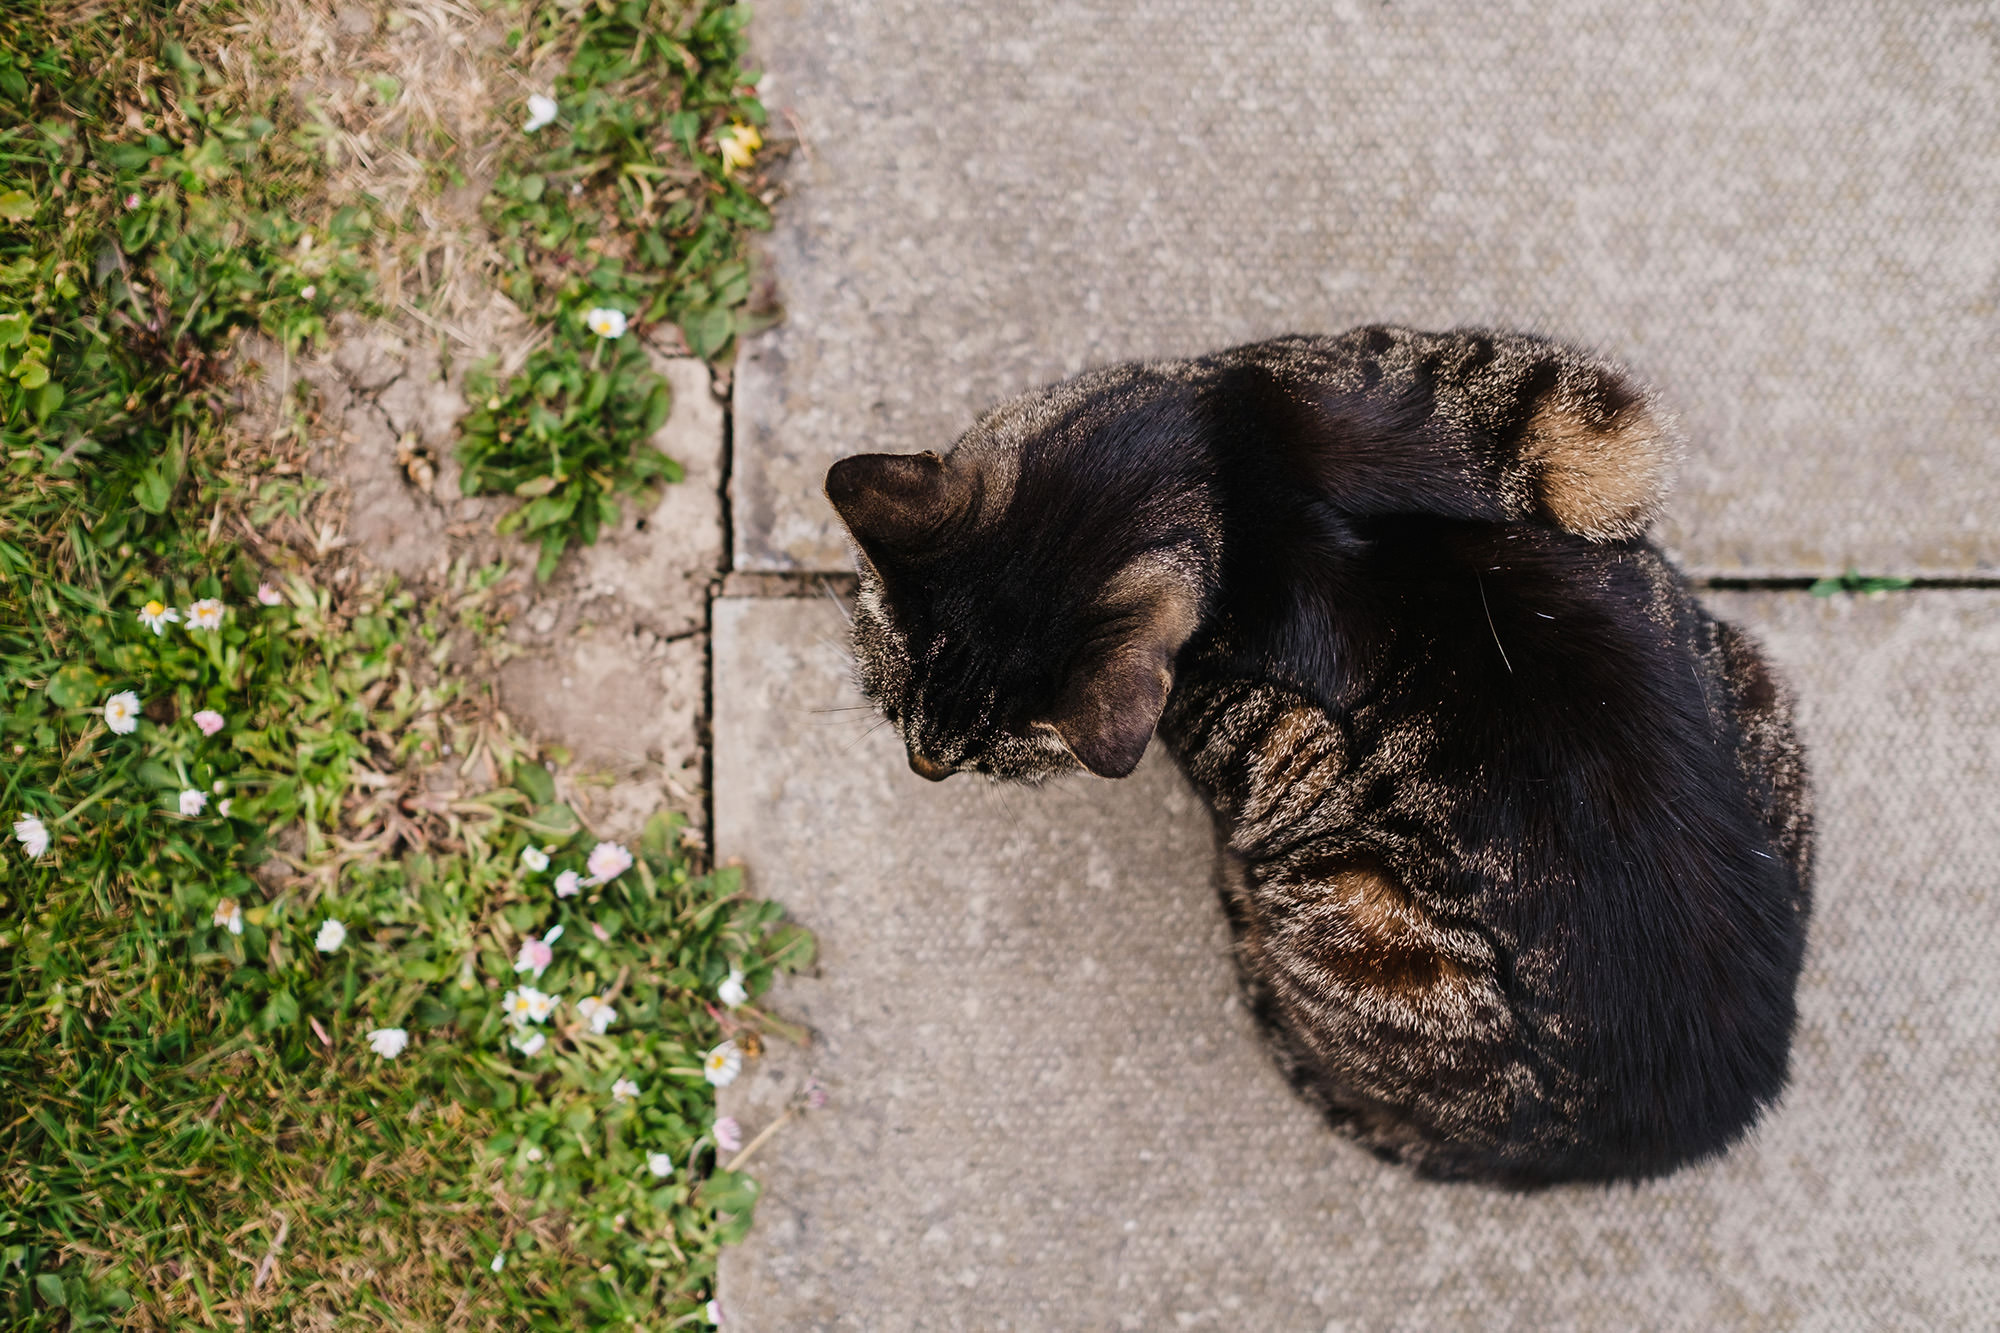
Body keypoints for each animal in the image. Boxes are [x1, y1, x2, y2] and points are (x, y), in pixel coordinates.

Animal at [824, 326, 1816, 1184]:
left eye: (988, 762)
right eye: (893, 705)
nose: (921, 766)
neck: (1227, 474)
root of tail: (1679, 1129)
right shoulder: (1578, 416)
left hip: (1355, 904)